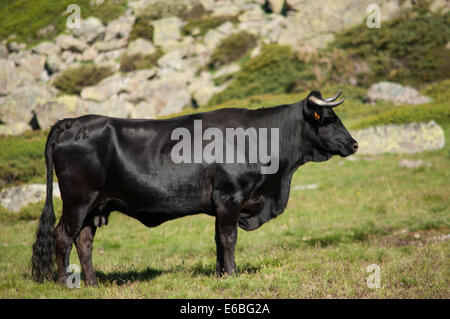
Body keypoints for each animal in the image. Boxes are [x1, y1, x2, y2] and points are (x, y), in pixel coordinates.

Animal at [30, 90, 358, 288]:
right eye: (329, 119)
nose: (354, 144)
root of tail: (71, 123)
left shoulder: (220, 204)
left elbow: (218, 240)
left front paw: (219, 276)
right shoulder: (229, 197)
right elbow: (229, 238)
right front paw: (232, 275)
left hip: (94, 206)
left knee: (84, 241)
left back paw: (93, 284)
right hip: (78, 201)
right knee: (63, 237)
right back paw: (66, 284)